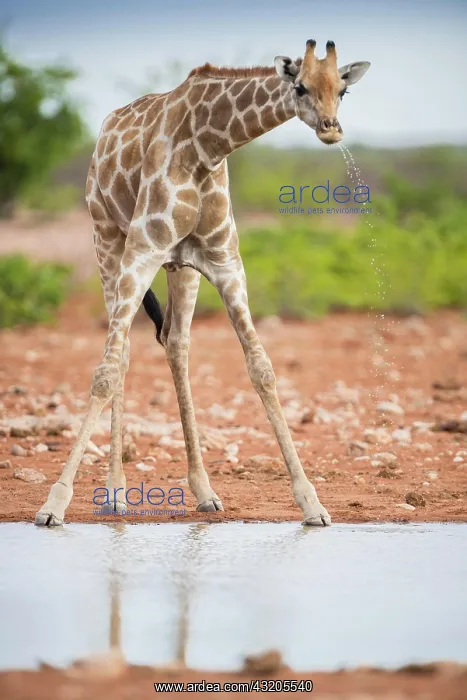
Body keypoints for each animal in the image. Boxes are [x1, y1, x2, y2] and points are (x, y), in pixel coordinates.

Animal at [35, 40, 370, 527]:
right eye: (301, 86)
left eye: (341, 90)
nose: (331, 129)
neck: (206, 147)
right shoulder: (141, 252)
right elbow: (104, 374)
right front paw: (54, 503)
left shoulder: (225, 263)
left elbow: (262, 370)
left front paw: (312, 503)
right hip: (107, 243)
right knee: (123, 354)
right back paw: (115, 491)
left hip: (180, 268)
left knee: (175, 345)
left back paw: (204, 490)